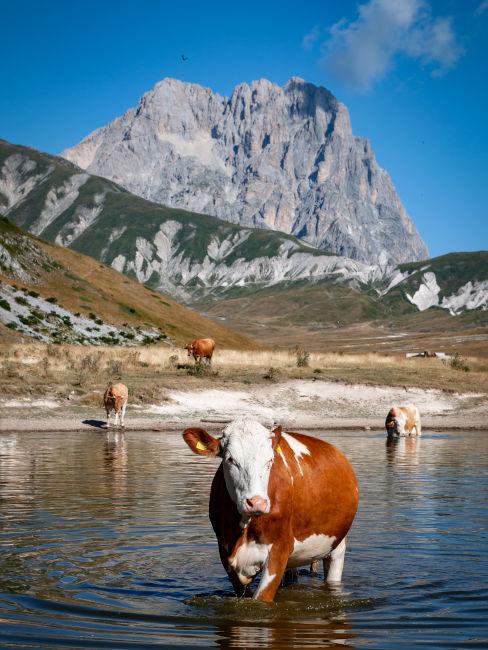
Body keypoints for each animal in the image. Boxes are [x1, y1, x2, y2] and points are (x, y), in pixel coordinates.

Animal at [182, 417, 359, 602]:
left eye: (270, 460)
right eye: (230, 459)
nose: (256, 502)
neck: (245, 527)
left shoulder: (279, 550)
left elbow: (262, 599)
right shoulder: (225, 552)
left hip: (337, 544)